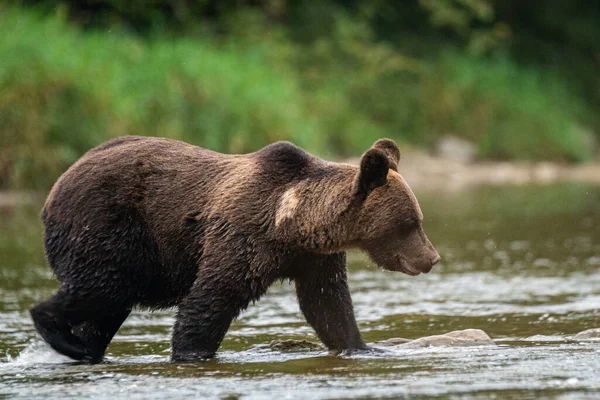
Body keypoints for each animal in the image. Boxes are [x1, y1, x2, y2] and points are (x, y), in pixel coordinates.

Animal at [29, 137, 440, 362]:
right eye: (411, 223)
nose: (432, 258)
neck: (292, 224)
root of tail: (56, 185)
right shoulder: (243, 235)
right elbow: (213, 296)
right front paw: (191, 353)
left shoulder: (314, 258)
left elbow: (328, 305)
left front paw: (361, 346)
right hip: (106, 224)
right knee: (105, 285)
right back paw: (62, 336)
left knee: (109, 303)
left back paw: (86, 348)